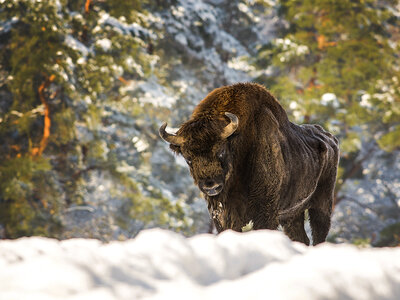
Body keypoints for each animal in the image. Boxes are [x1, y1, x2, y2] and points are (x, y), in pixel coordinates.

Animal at [158, 81, 340, 244]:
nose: (211, 186)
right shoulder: (224, 215)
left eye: (221, 151)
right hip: (292, 213)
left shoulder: (265, 211)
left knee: (319, 233)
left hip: (321, 205)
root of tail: (330, 139)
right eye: (188, 158)